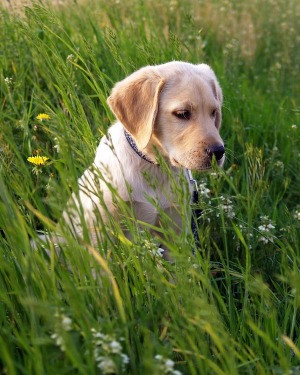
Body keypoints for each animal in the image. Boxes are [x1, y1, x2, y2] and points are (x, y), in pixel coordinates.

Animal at [61, 61, 225, 250]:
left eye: (213, 112)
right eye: (182, 113)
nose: (218, 151)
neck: (155, 166)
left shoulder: (176, 230)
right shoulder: (100, 229)